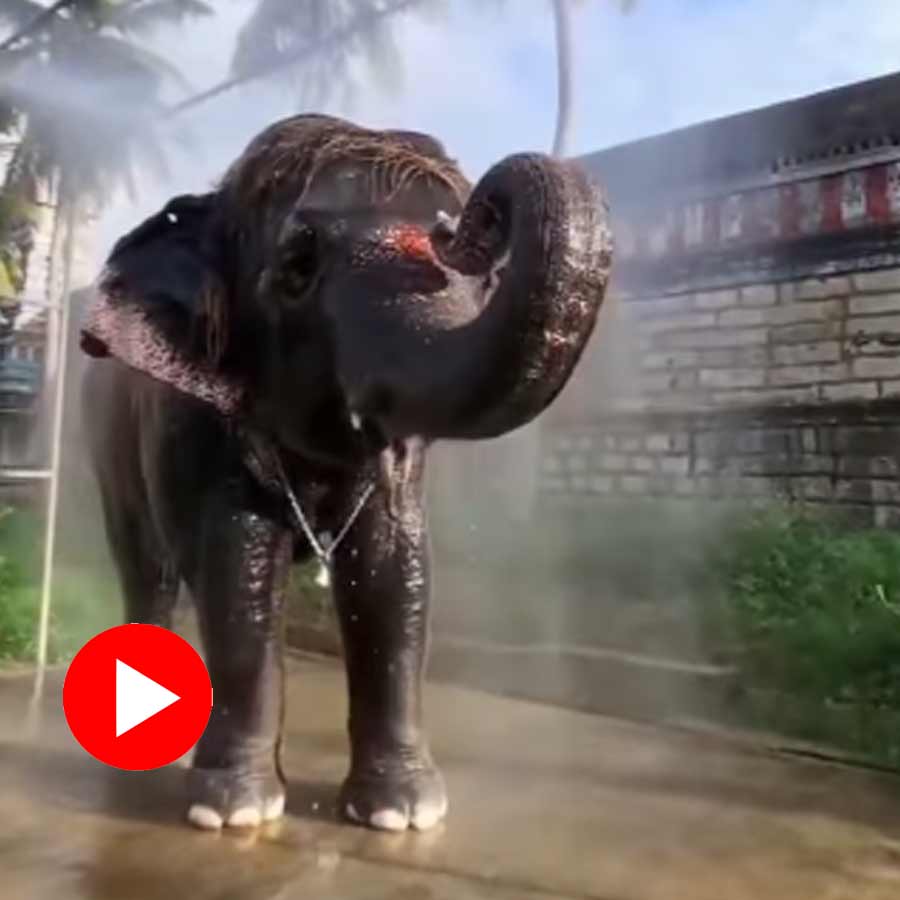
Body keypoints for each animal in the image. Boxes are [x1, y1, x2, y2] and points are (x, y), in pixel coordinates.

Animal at [79, 114, 612, 833]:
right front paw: (233, 812)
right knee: (147, 570)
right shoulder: (190, 418)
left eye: (468, 268)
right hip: (104, 446)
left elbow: (393, 567)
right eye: (298, 264)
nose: (463, 224)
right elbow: (237, 561)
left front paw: (401, 813)